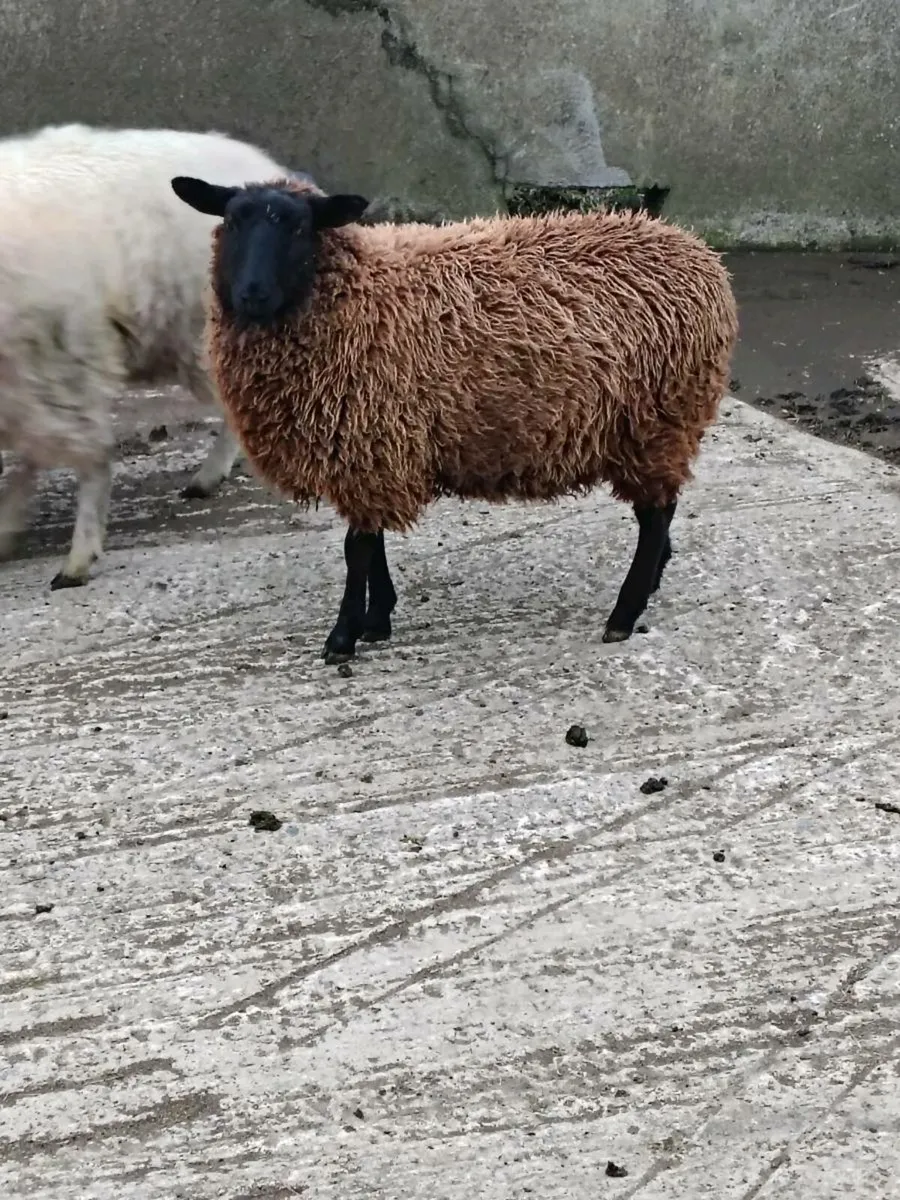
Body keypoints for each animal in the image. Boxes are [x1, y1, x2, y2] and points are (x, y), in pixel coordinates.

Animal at [172, 174, 739, 662]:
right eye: (233, 220)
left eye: (297, 227)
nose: (252, 294)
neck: (355, 293)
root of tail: (700, 255)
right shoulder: (374, 450)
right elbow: (372, 542)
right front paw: (377, 620)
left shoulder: (369, 441)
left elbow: (357, 549)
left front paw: (343, 636)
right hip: (657, 428)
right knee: (658, 513)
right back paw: (653, 578)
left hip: (659, 422)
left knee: (656, 515)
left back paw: (624, 612)